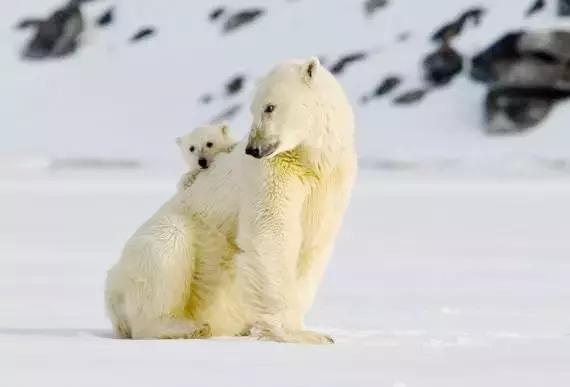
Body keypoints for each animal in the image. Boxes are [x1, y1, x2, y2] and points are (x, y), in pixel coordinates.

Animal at [105, 56, 356, 344]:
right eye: (253, 109)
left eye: (269, 107)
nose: (253, 149)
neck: (310, 160)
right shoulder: (273, 172)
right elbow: (273, 231)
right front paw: (296, 334)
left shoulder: (330, 182)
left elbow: (313, 244)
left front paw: (309, 331)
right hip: (162, 248)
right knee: (167, 247)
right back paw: (183, 327)